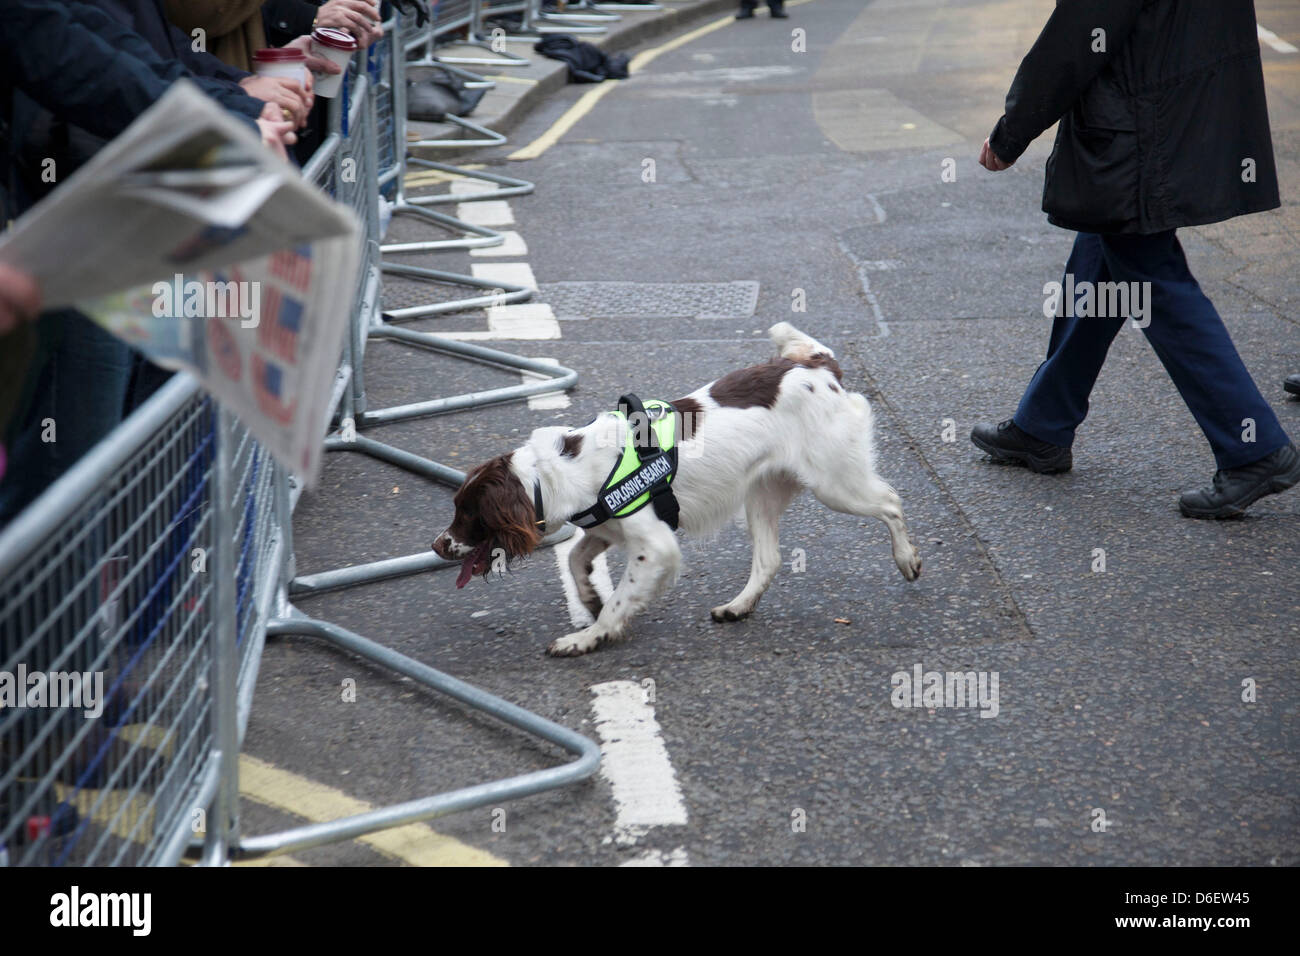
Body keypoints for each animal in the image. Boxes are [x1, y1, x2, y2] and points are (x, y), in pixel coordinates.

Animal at [436, 323, 925, 658]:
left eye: (467, 514)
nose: (438, 545)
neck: (559, 468)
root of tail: (817, 365)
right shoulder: (610, 528)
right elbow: (576, 559)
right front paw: (590, 600)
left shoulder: (655, 545)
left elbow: (619, 600)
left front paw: (588, 636)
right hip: (762, 494)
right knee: (769, 560)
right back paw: (737, 607)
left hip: (834, 483)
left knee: (890, 502)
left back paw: (907, 559)